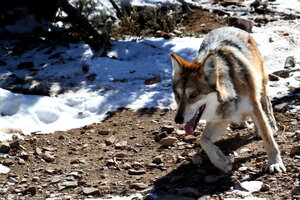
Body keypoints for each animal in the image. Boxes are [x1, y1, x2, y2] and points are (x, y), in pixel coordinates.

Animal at [171, 26, 286, 173]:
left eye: (193, 95)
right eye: (177, 95)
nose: (178, 119)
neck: (231, 90)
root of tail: (230, 27)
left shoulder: (253, 106)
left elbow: (268, 139)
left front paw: (275, 163)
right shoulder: (223, 117)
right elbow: (203, 140)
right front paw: (221, 162)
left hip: (261, 83)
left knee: (267, 103)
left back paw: (271, 125)